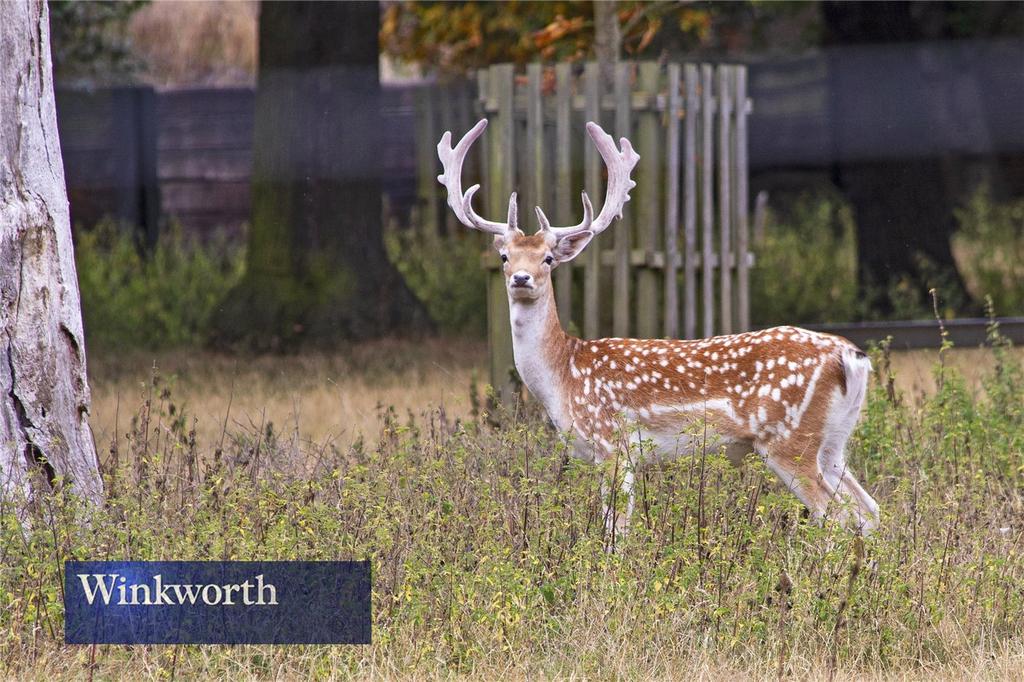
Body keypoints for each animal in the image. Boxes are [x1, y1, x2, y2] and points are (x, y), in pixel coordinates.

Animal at [436, 116, 876, 532]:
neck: (564, 376)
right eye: (505, 256)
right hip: (833, 442)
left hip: (787, 438)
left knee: (836, 516)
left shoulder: (614, 444)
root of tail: (850, 356)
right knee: (869, 512)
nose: (521, 279)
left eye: (548, 258)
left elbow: (615, 532)